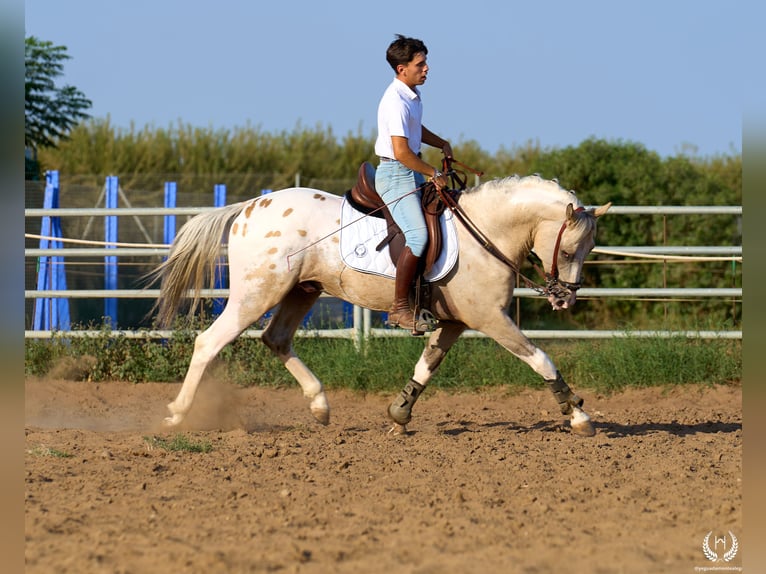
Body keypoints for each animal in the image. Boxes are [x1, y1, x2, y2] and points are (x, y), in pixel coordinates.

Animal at [149, 173, 611, 436]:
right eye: (568, 250)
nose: (564, 299)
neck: (486, 232)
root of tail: (247, 207)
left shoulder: (456, 322)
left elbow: (427, 364)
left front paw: (399, 413)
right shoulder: (489, 318)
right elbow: (541, 359)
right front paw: (578, 417)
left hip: (302, 291)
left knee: (277, 339)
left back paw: (320, 406)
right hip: (256, 294)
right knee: (209, 343)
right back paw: (176, 415)